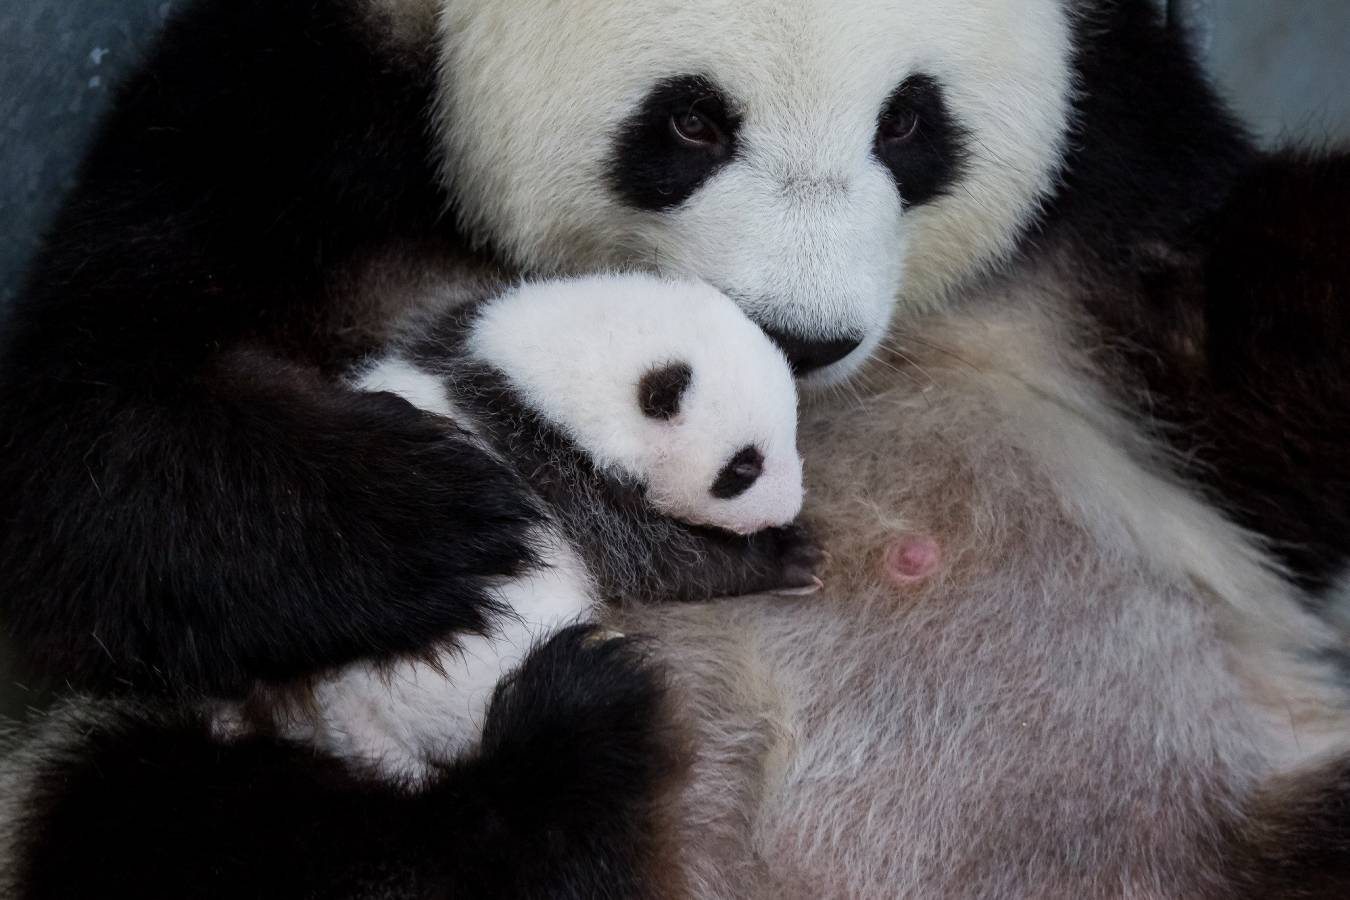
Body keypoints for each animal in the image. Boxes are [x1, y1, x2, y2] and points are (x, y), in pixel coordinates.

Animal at [2, 0, 1350, 895]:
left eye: (910, 122)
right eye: (692, 121)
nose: (803, 337)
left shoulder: (1117, 148)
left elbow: (1251, 437)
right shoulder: (285, 115)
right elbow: (88, 446)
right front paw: (448, 521)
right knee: (165, 827)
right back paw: (563, 763)